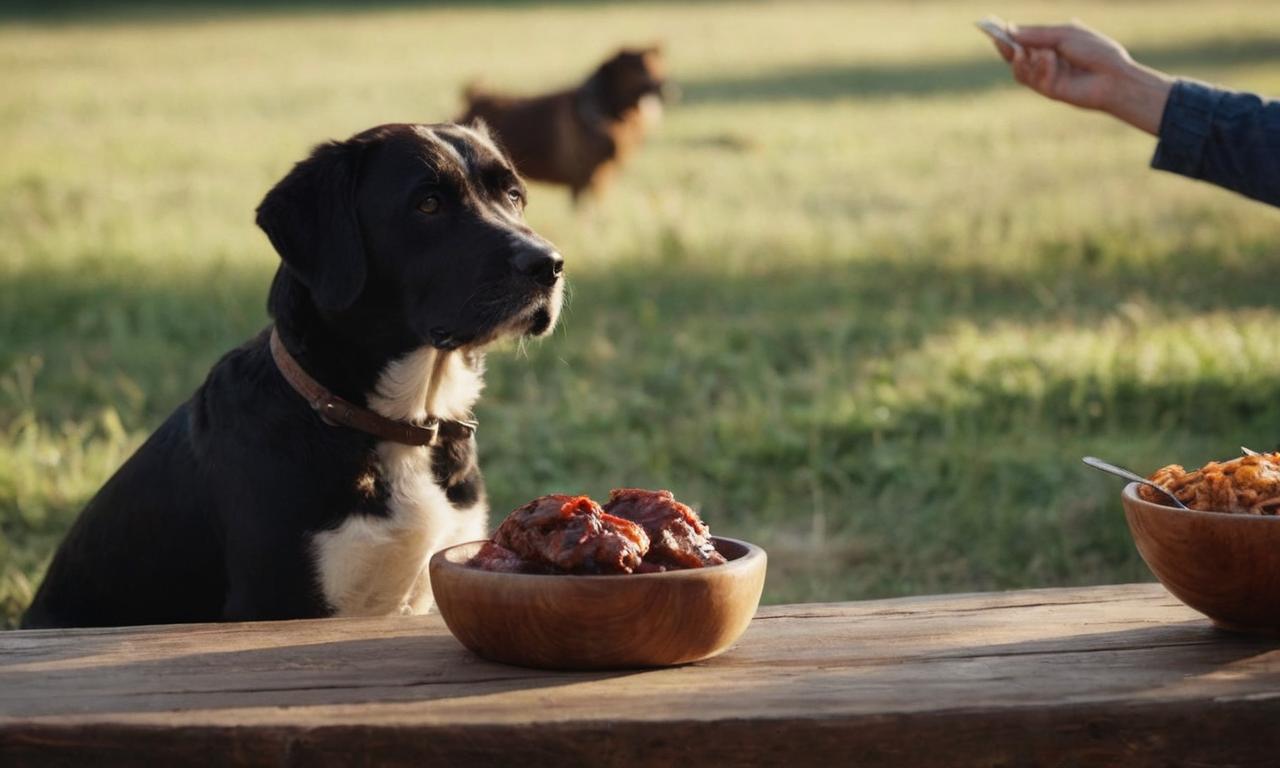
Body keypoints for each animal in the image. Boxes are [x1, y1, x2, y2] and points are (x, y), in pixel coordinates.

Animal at [460, 45, 670, 203]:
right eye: (636, 69)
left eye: (657, 66)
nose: (662, 86)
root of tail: (475, 98)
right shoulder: (586, 178)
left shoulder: (601, 177)